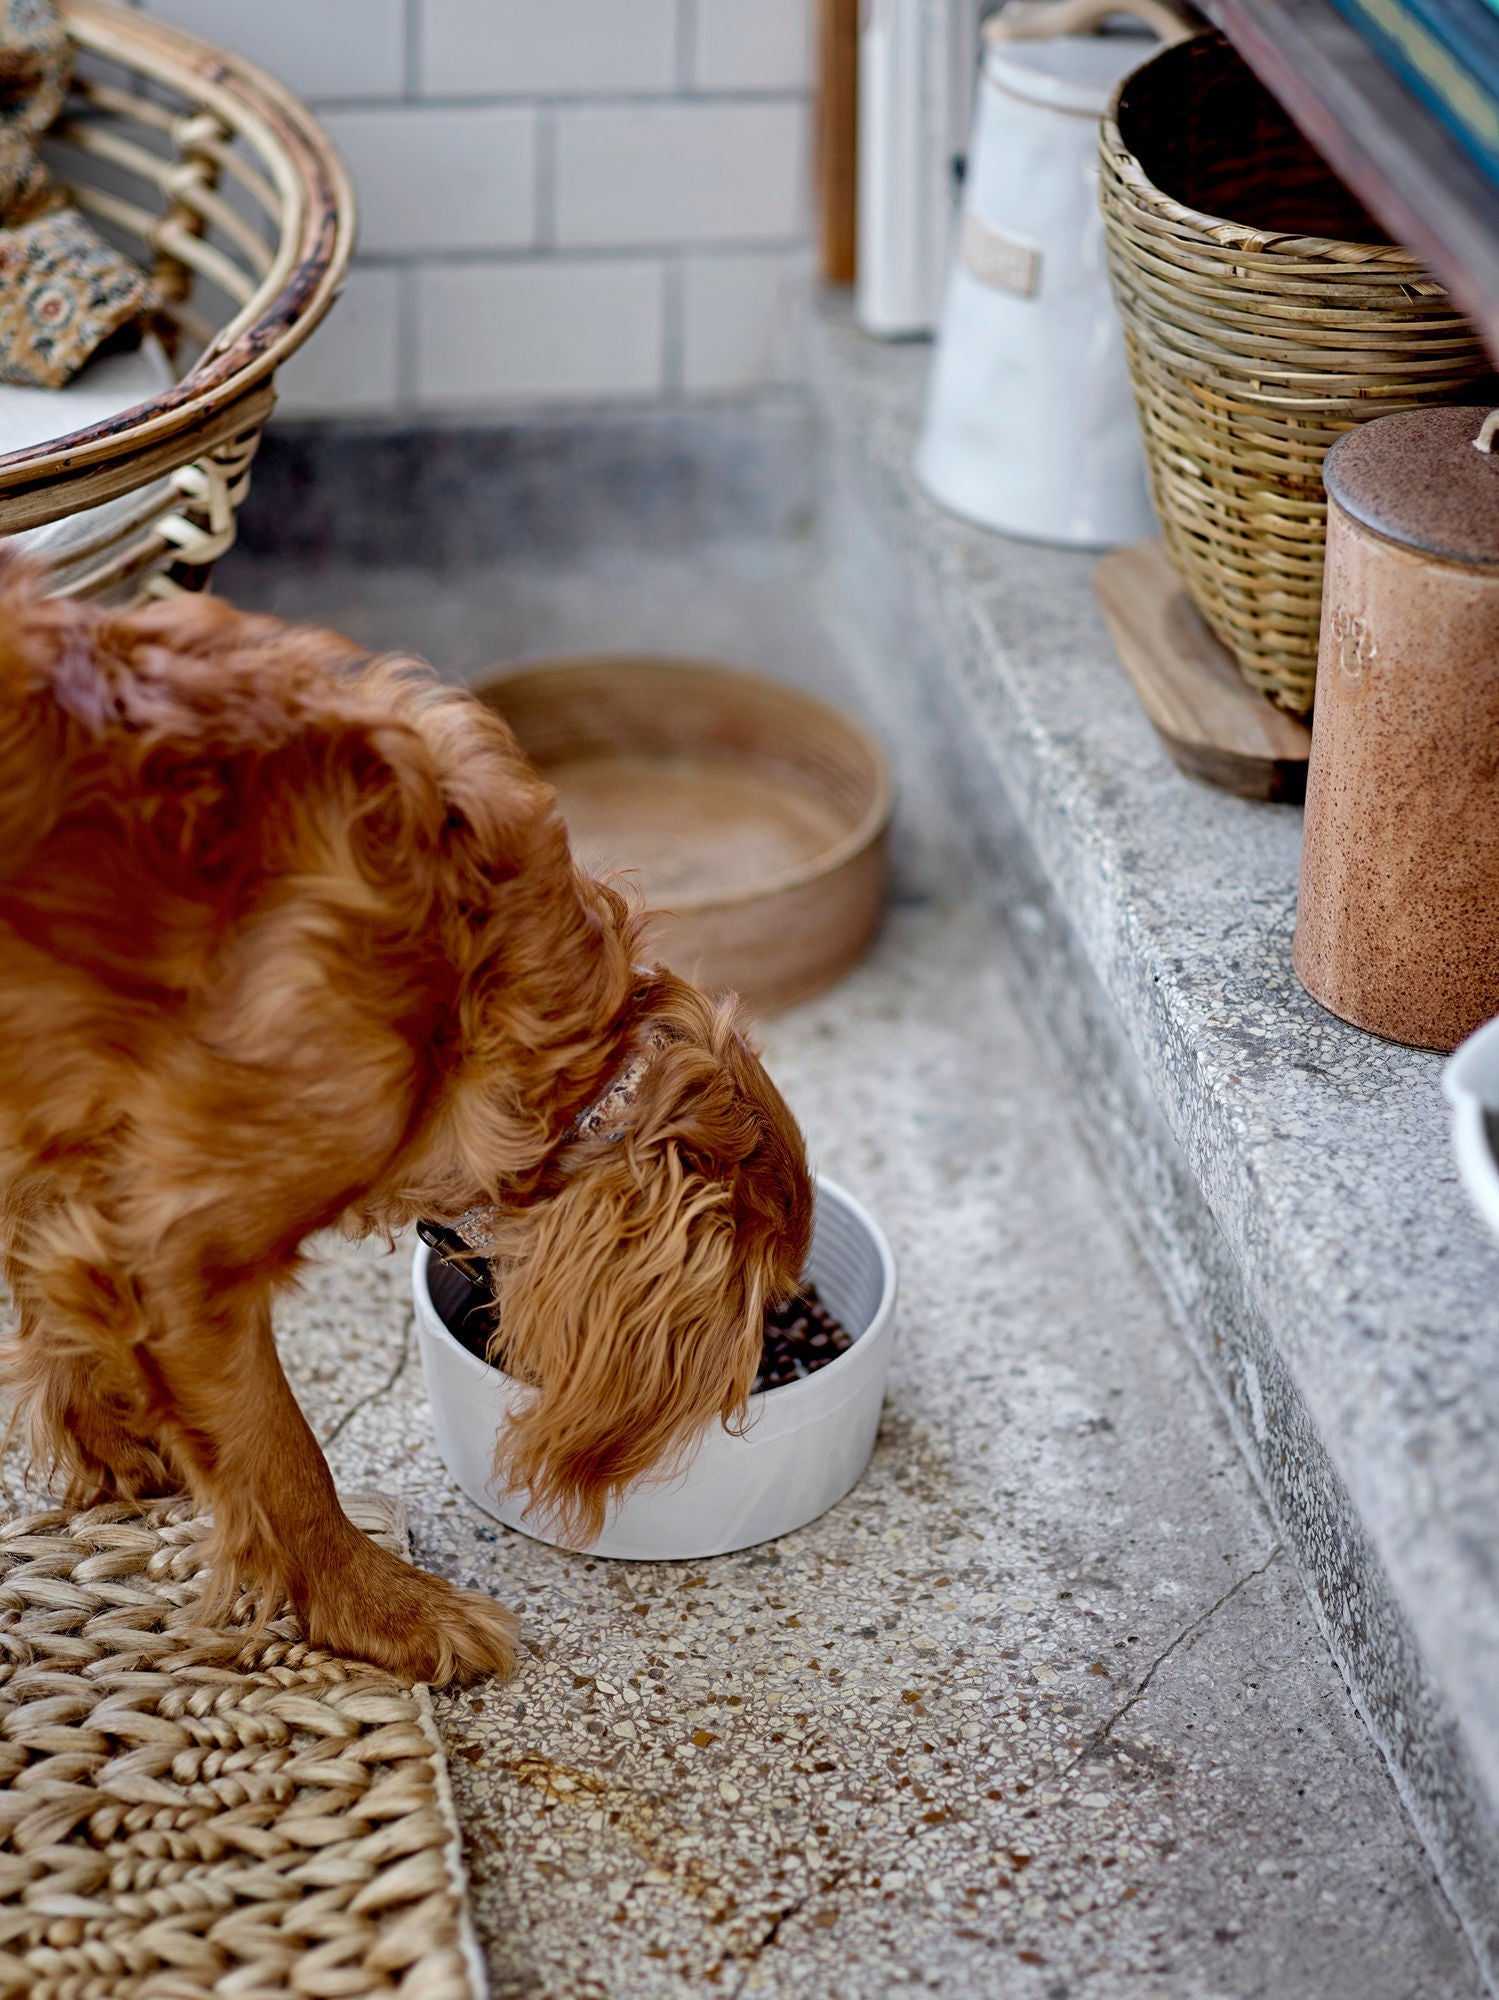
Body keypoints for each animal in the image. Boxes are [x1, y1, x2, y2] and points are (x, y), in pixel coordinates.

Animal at [0, 568, 815, 1688]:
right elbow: (283, 1457)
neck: (462, 984)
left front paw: (111, 1447)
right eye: (767, 1302)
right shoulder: (179, 1258)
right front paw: (384, 1611)